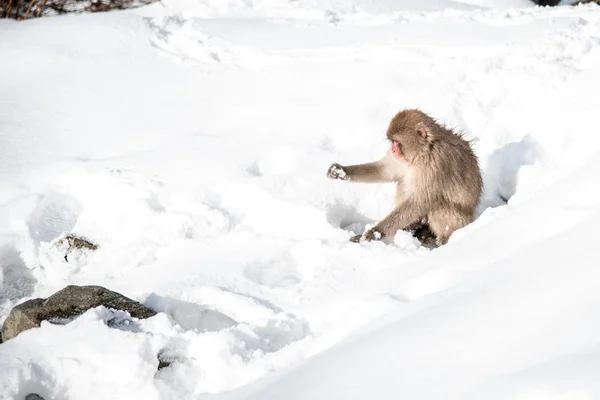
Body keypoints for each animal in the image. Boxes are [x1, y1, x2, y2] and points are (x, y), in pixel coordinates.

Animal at [326, 110, 486, 247]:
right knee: (403, 183)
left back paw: (441, 240)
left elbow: (421, 201)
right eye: (392, 142)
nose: (393, 150)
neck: (422, 154)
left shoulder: (438, 165)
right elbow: (384, 171)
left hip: (461, 221)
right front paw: (340, 171)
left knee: (439, 206)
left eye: (397, 142)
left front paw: (374, 233)